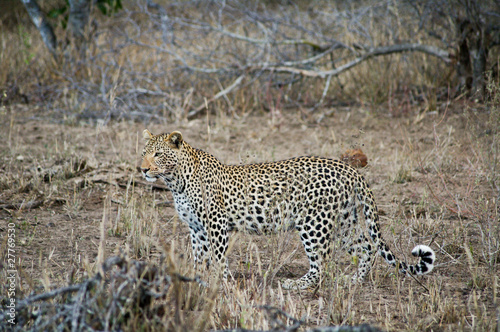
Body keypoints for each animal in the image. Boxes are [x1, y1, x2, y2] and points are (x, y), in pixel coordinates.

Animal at [140, 128, 434, 290]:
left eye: (157, 154)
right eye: (143, 152)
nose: (142, 169)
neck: (176, 180)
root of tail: (349, 169)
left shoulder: (217, 224)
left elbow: (218, 258)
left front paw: (219, 283)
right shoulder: (197, 228)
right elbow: (199, 258)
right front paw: (197, 280)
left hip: (314, 223)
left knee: (321, 263)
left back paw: (297, 285)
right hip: (344, 220)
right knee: (367, 246)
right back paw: (354, 281)